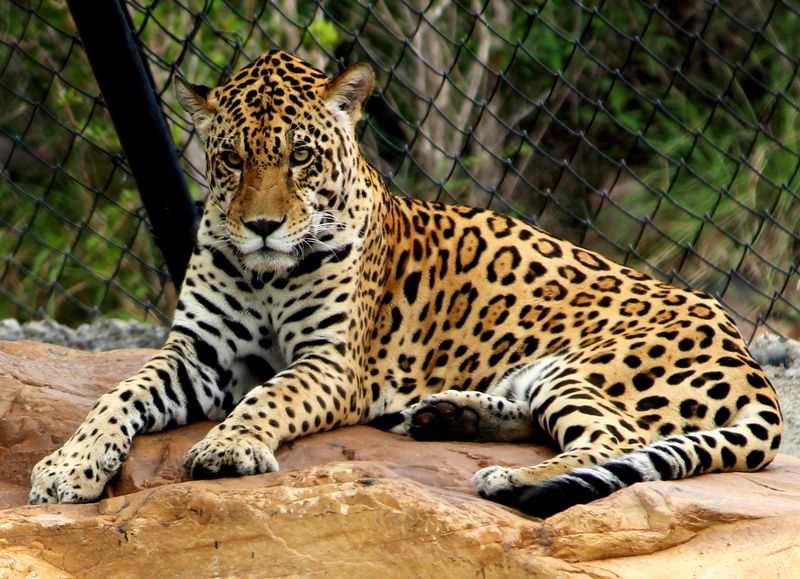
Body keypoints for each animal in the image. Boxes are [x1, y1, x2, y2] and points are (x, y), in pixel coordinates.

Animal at [29, 50, 783, 518]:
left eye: (300, 157)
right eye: (233, 159)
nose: (263, 226)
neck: (268, 274)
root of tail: (749, 358)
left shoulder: (333, 364)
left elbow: (270, 394)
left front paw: (226, 446)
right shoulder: (198, 352)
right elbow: (117, 393)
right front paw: (67, 466)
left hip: (592, 365)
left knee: (613, 440)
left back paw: (504, 478)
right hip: (541, 374)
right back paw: (450, 415)